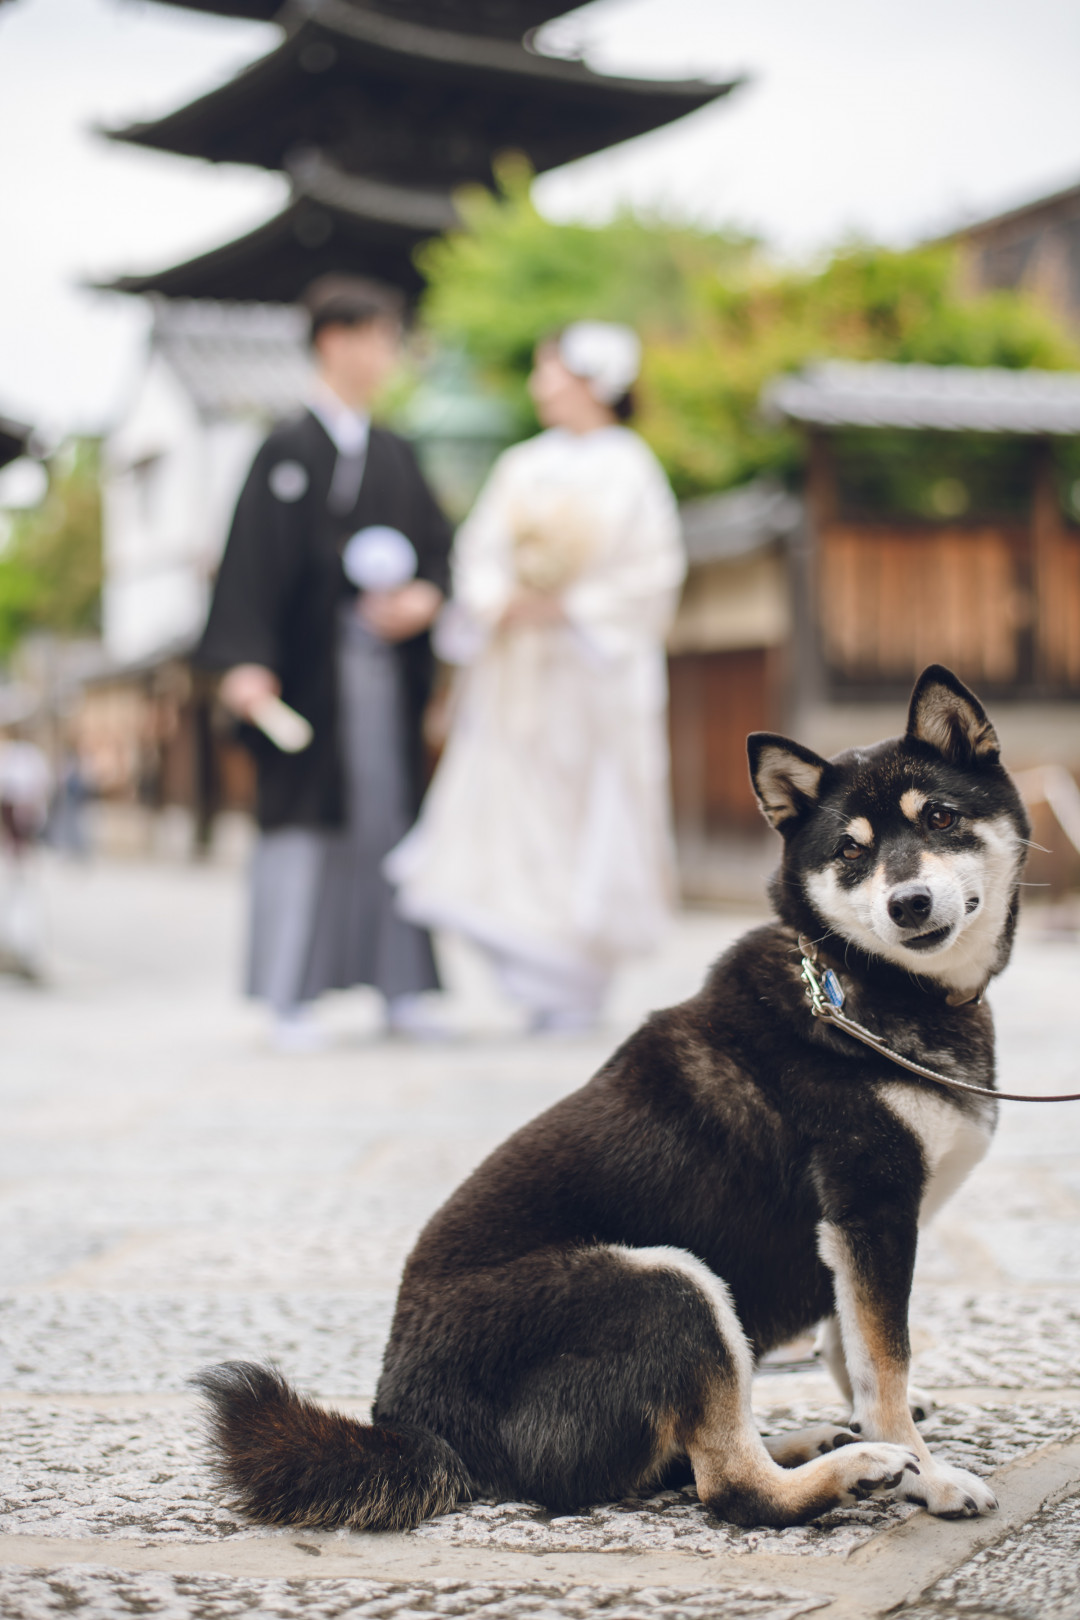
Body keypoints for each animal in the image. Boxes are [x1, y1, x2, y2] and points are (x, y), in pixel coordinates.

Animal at [196, 664, 1029, 1522]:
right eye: (850, 853)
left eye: (940, 816)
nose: (907, 904)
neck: (857, 983)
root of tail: (417, 1424)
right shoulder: (871, 1206)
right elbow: (884, 1361)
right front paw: (927, 1472)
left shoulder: (858, 1231)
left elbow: (855, 1348)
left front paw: (878, 1424)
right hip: (667, 1283)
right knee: (728, 1485)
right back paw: (853, 1467)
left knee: (691, 1459)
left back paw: (815, 1441)